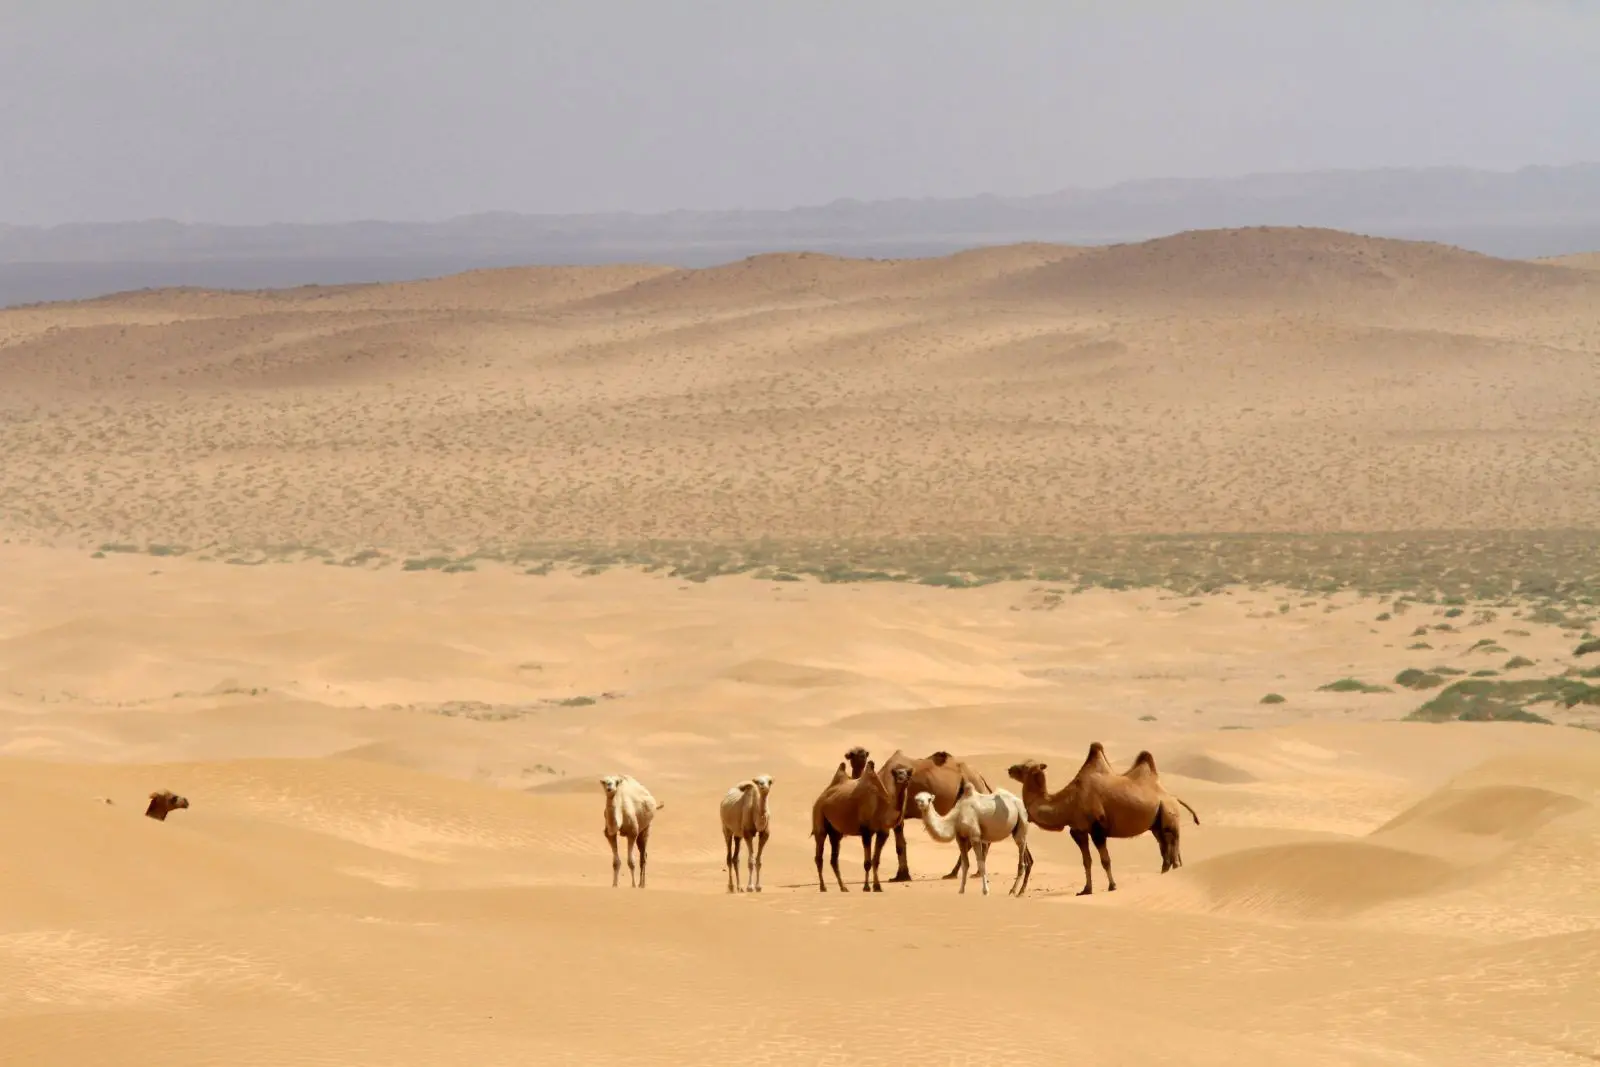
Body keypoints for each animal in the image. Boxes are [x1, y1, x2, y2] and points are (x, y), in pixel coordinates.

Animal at [812, 755, 915, 895]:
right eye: (897, 774)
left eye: (908, 774)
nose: (902, 779)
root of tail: (821, 797)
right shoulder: (866, 832)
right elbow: (867, 862)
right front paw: (866, 887)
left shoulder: (883, 832)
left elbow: (875, 860)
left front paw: (877, 887)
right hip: (819, 820)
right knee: (819, 856)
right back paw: (823, 887)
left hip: (835, 832)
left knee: (833, 859)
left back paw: (843, 887)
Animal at [844, 742, 992, 883]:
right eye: (851, 755)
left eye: (864, 754)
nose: (861, 758)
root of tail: (981, 778)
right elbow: (901, 844)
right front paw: (902, 875)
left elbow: (900, 845)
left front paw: (901, 876)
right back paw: (961, 873)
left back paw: (966, 873)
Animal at [1004, 742, 1196, 902]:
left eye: (1025, 767)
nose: (1010, 769)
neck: (1069, 802)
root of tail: (1173, 797)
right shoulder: (1078, 830)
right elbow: (1086, 861)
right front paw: (1086, 889)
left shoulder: (1097, 829)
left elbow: (1105, 860)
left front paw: (1112, 886)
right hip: (1156, 825)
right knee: (1165, 852)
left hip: (1169, 817)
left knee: (1173, 848)